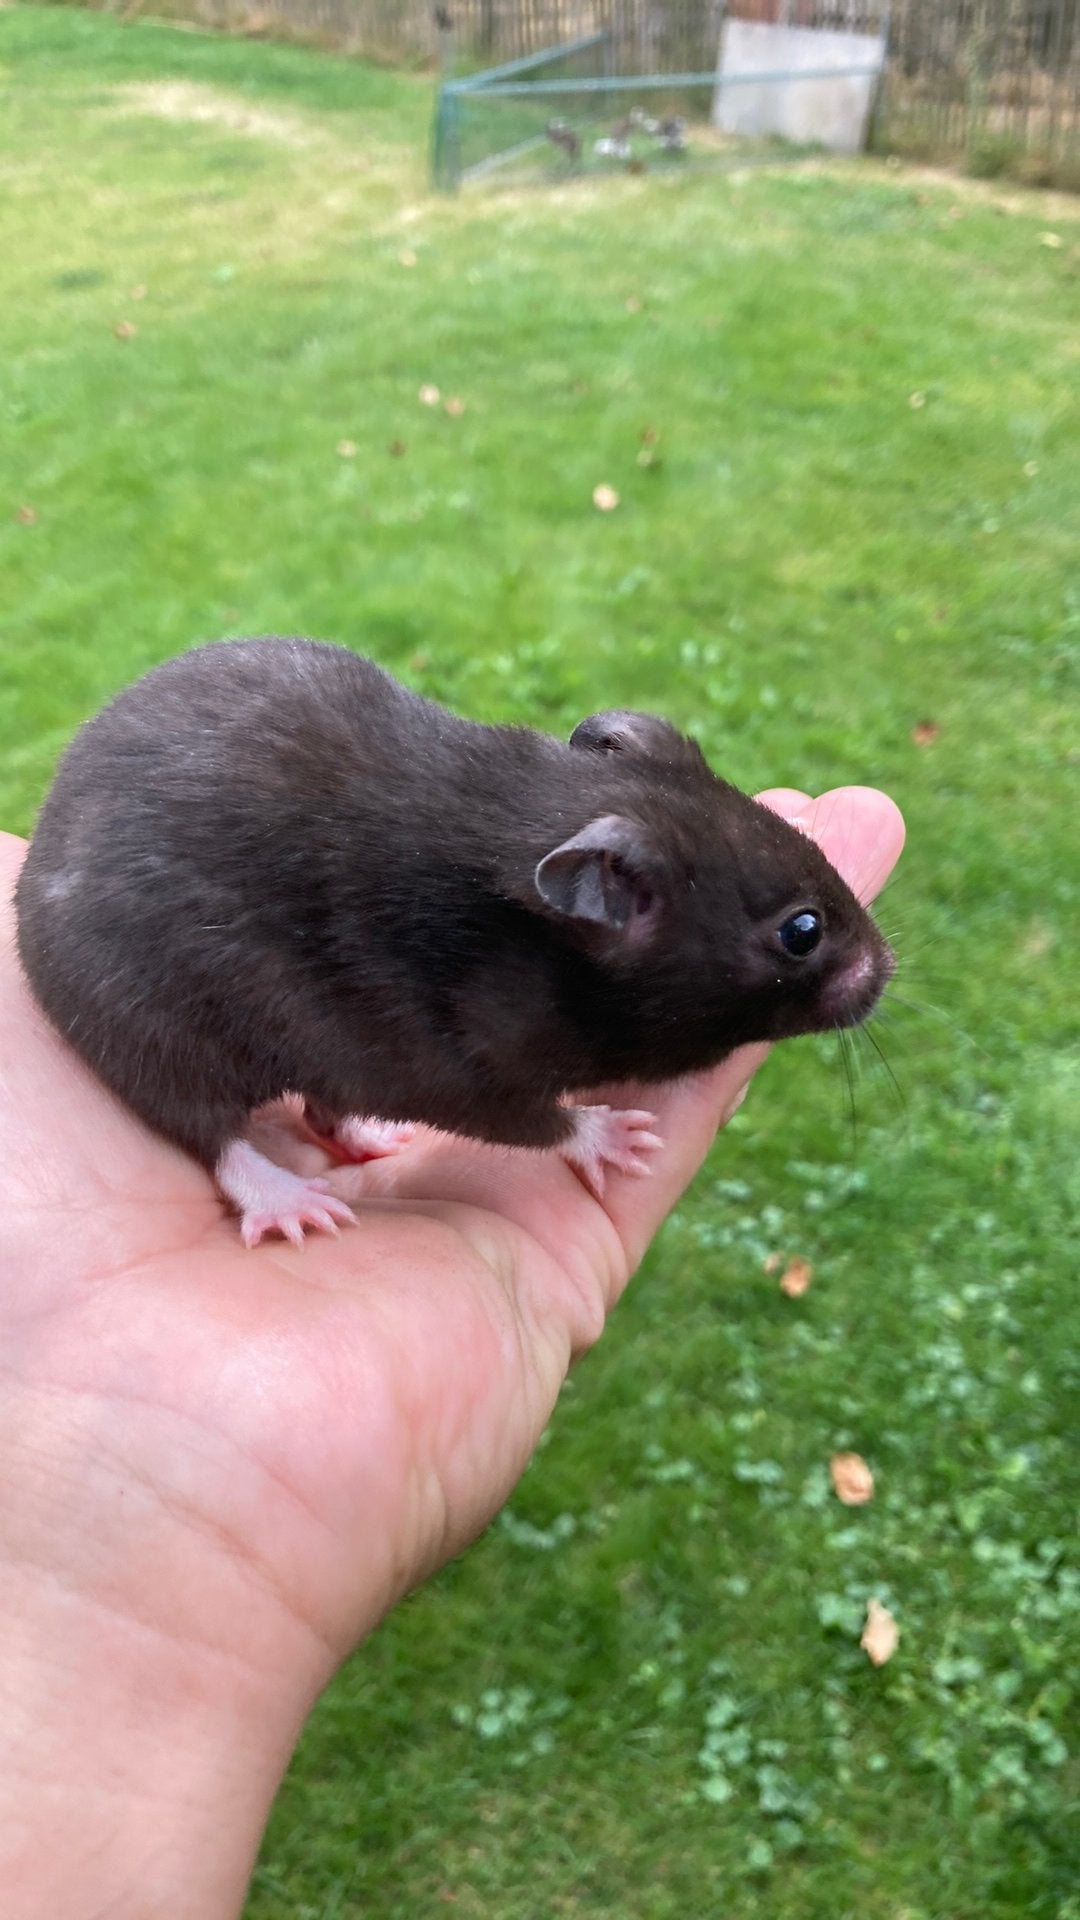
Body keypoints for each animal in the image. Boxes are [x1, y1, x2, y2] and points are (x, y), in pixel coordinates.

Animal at [15, 637, 895, 1246]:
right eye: (802, 932)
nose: (885, 969)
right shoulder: (448, 1068)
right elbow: (537, 1122)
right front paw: (624, 1138)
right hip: (152, 1031)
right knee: (214, 1136)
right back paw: (299, 1208)